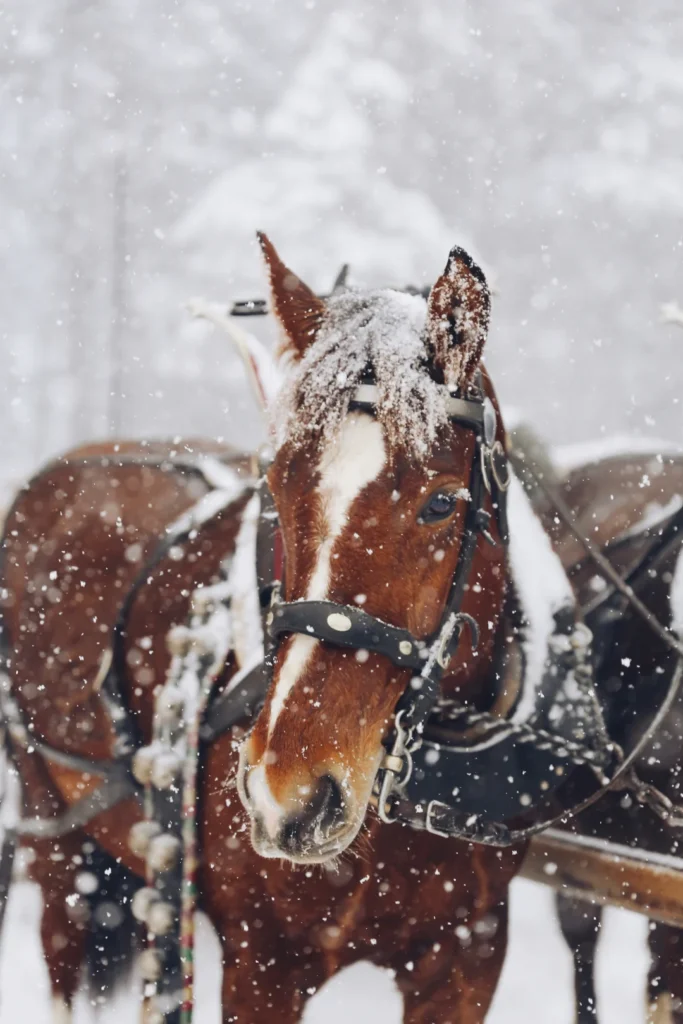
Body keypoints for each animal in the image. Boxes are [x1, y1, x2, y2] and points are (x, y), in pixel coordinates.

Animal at [2, 233, 683, 1024]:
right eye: (277, 484)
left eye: (441, 503)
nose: (286, 794)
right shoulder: (263, 967)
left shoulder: (468, 953)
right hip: (50, 818)